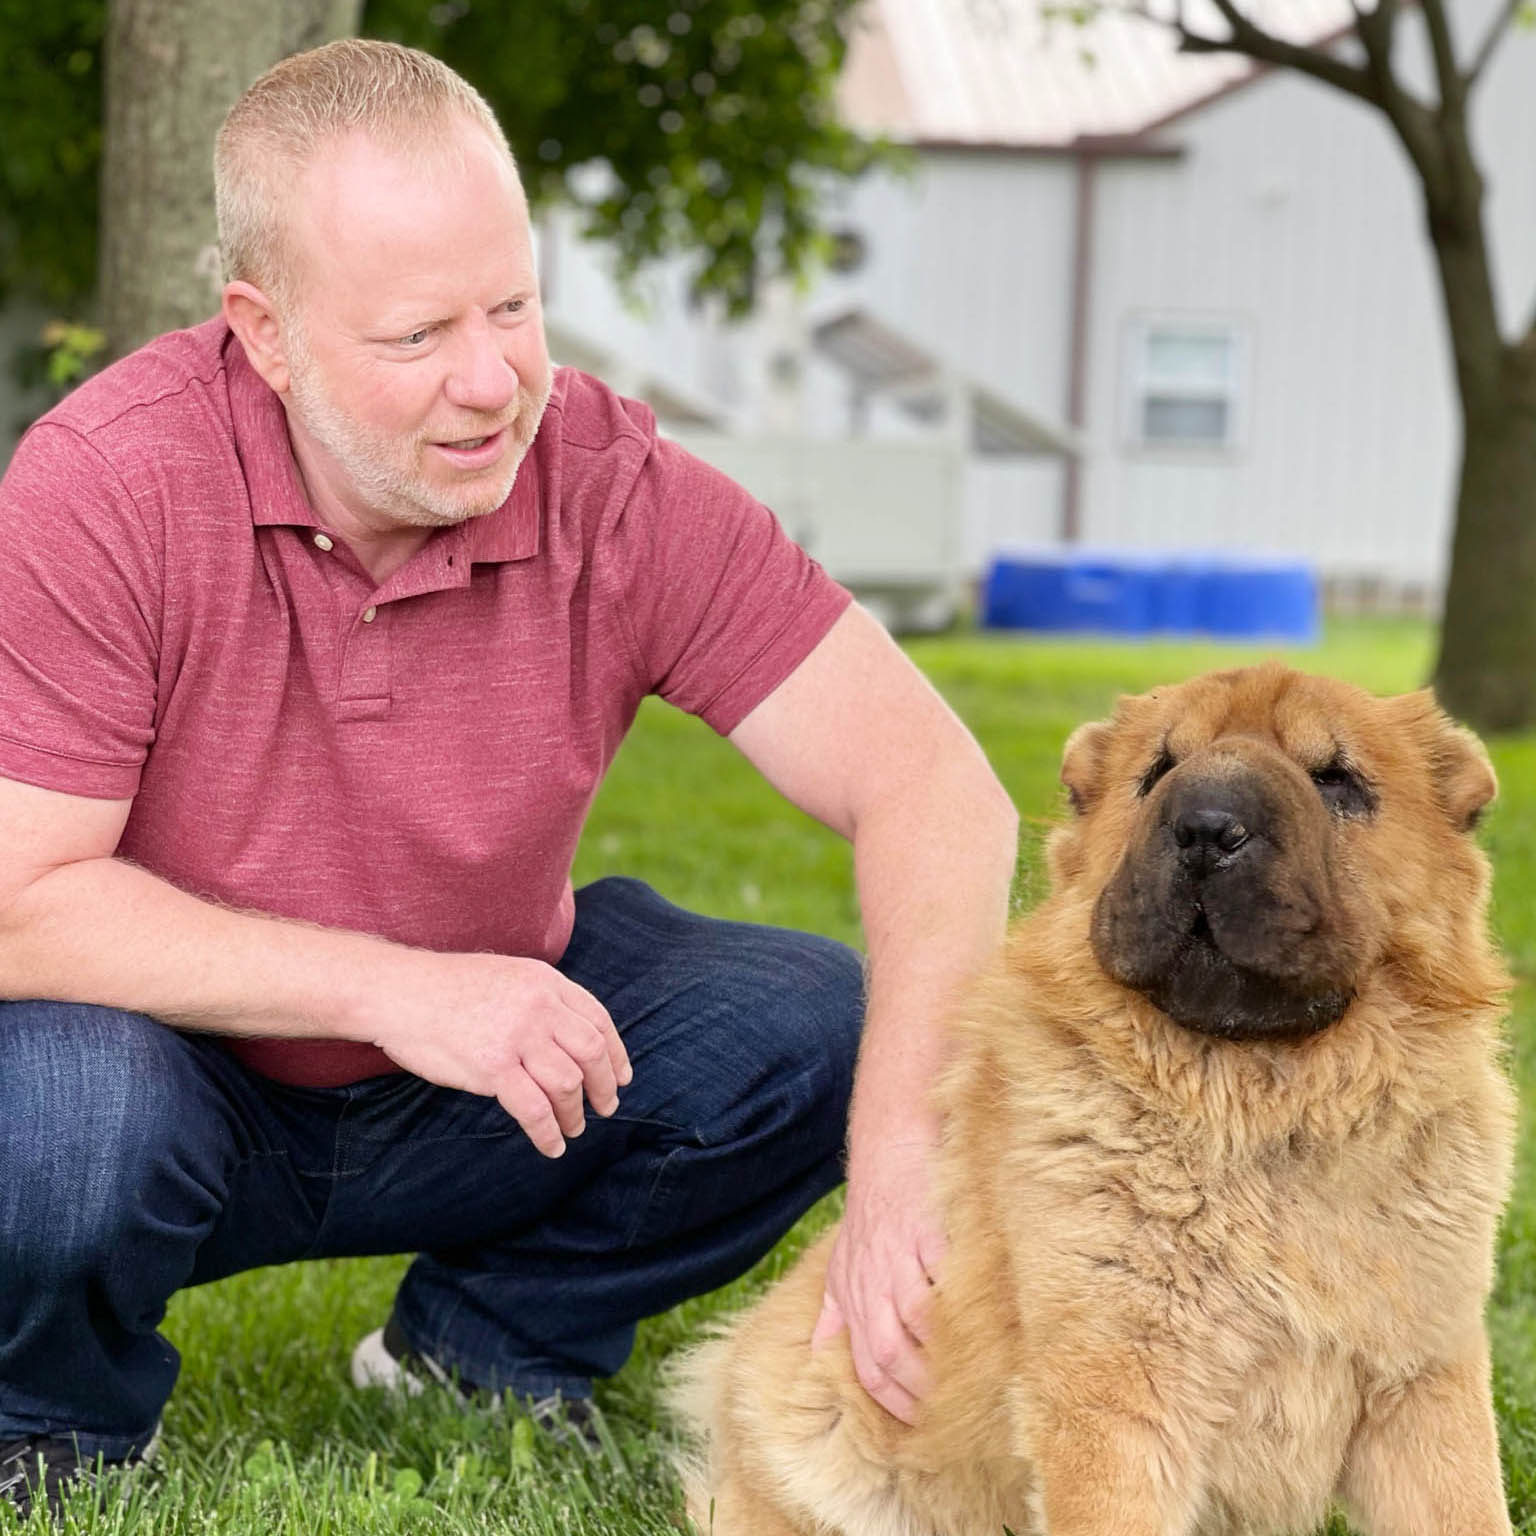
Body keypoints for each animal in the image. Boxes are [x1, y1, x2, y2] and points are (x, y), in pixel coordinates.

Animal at [669, 663, 1511, 1536]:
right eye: (1158, 771)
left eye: (1336, 780)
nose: (1206, 828)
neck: (1265, 1116)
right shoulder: (1116, 1389)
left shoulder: (1426, 1377)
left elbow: (1468, 1510)